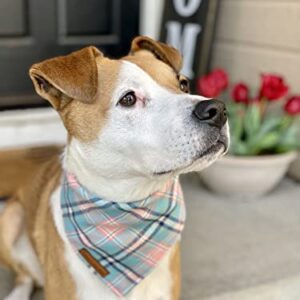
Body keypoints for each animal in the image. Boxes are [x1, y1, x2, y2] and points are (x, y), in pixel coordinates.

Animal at [0, 35, 229, 300]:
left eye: (183, 84)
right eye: (128, 99)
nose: (217, 110)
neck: (128, 207)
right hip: (10, 219)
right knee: (24, 275)